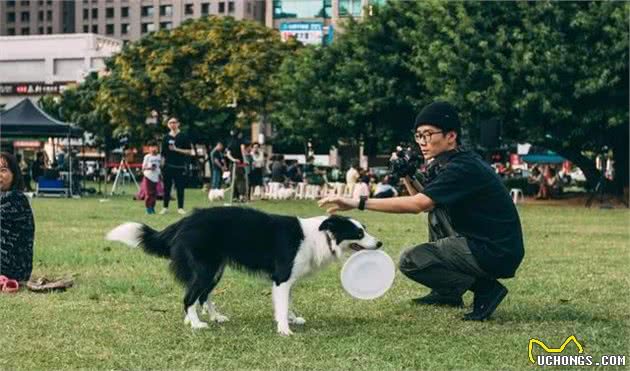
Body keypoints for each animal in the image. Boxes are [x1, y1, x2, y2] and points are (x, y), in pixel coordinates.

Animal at [106, 206, 382, 338]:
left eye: (365, 229)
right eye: (359, 233)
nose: (380, 243)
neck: (320, 237)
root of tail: (184, 222)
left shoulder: (288, 280)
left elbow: (289, 302)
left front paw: (293, 318)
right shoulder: (282, 277)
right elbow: (282, 305)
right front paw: (284, 329)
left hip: (215, 269)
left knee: (202, 295)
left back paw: (213, 317)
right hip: (206, 268)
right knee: (189, 297)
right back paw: (196, 323)